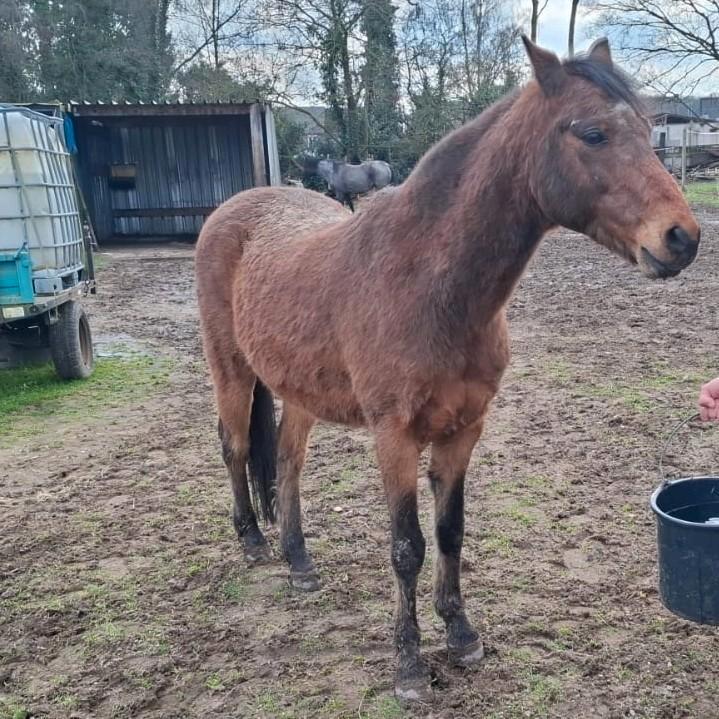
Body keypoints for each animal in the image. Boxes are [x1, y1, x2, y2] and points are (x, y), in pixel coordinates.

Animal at [195, 37, 699, 704]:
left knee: (285, 460)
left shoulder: (464, 430)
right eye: (593, 134)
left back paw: (299, 559)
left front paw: (461, 635)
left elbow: (451, 531)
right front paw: (408, 665)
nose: (682, 238)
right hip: (232, 370)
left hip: (300, 392)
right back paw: (253, 542)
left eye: (647, 132)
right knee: (232, 446)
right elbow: (406, 546)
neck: (428, 284)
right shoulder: (394, 436)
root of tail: (238, 206)